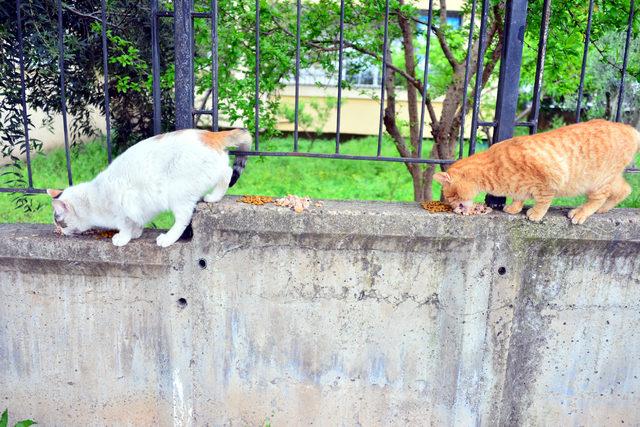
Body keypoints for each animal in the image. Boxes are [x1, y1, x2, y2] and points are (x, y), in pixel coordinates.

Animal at [47, 128, 250, 247]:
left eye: (58, 221)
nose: (58, 231)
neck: (92, 197)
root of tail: (211, 134)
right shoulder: (140, 207)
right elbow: (137, 221)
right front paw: (136, 233)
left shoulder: (124, 206)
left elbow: (124, 225)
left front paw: (123, 238)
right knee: (227, 172)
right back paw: (215, 197)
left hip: (179, 193)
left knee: (184, 218)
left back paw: (168, 238)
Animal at [432, 119, 636, 224]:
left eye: (451, 196)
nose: (454, 208)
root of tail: (630, 129)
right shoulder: (520, 187)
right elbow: (519, 196)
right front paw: (514, 207)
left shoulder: (548, 182)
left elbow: (543, 201)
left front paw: (536, 214)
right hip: (608, 180)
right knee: (625, 189)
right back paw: (603, 209)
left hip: (598, 182)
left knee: (598, 198)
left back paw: (581, 213)